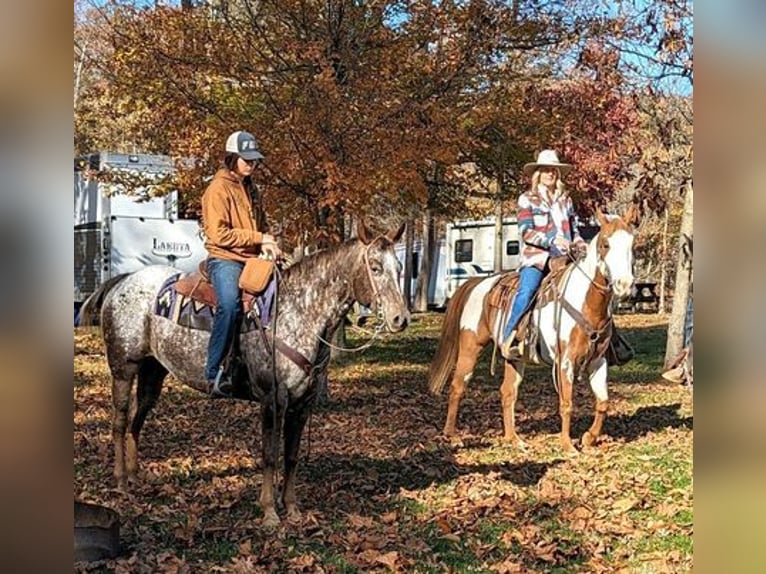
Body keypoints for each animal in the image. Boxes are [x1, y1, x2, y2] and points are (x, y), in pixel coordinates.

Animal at [80, 222, 412, 532]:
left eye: (399, 268)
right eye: (375, 267)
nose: (401, 318)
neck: (297, 312)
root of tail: (123, 281)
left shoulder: (302, 404)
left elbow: (291, 456)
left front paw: (292, 509)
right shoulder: (272, 400)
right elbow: (270, 454)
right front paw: (269, 512)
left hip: (153, 373)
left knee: (137, 421)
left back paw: (135, 476)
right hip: (124, 369)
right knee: (120, 422)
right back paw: (121, 482)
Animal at [428, 209, 640, 456]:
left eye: (632, 244)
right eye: (605, 244)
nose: (624, 284)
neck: (585, 302)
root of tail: (478, 283)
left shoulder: (598, 361)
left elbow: (603, 401)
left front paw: (588, 438)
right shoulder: (565, 361)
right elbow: (566, 403)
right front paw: (568, 445)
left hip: (515, 357)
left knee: (507, 392)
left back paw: (514, 439)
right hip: (471, 348)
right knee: (458, 386)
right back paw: (452, 436)